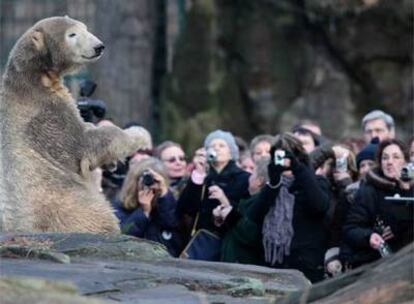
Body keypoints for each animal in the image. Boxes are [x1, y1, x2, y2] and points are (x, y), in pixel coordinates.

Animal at [0, 16, 152, 233]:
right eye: (72, 34)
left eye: (85, 28)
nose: (99, 46)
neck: (31, 81)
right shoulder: (45, 114)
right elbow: (85, 141)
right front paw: (140, 134)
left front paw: (113, 163)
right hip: (66, 201)